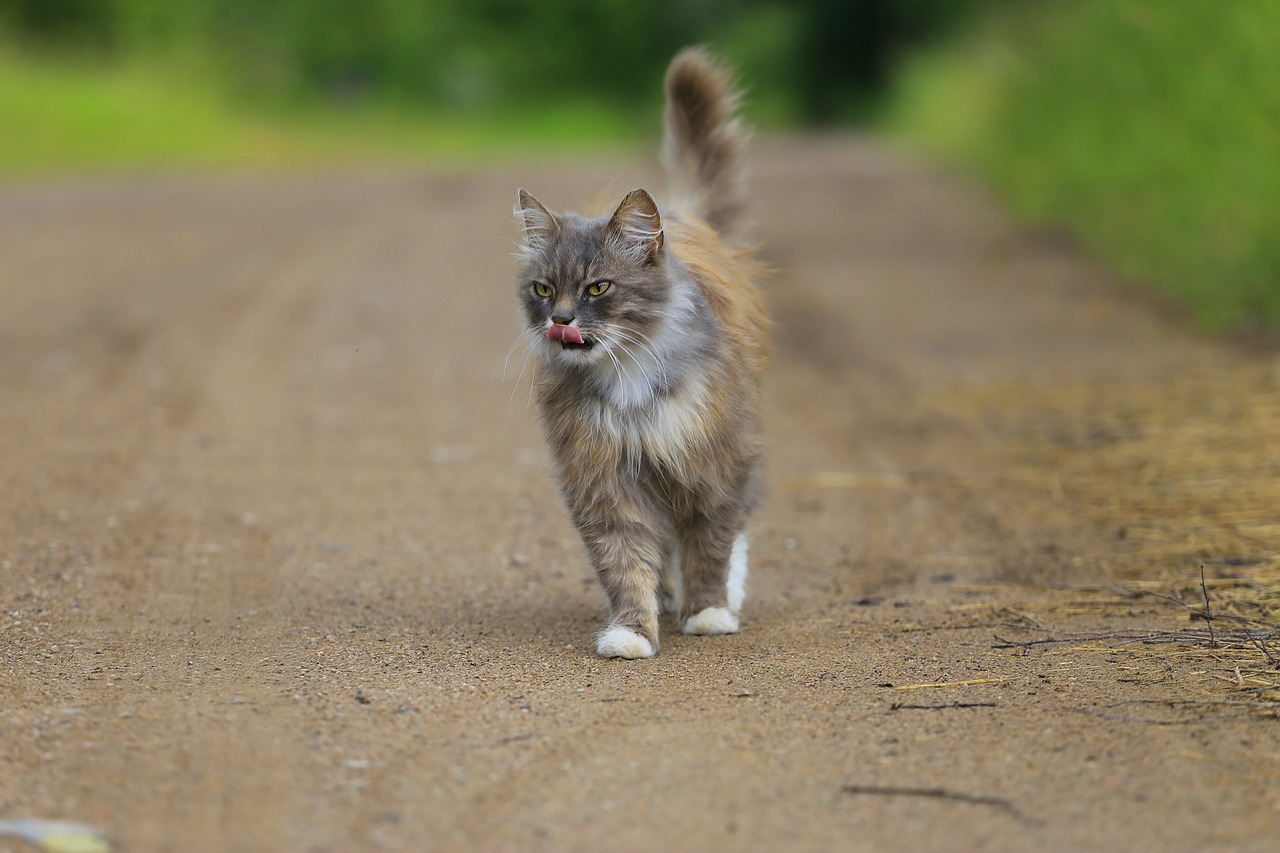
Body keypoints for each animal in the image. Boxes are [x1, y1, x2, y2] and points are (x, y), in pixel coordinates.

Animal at [512, 48, 768, 655]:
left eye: (597, 288)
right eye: (543, 290)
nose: (560, 320)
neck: (629, 373)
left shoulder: (713, 459)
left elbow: (712, 545)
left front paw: (709, 612)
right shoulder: (604, 478)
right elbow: (624, 562)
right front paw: (631, 633)